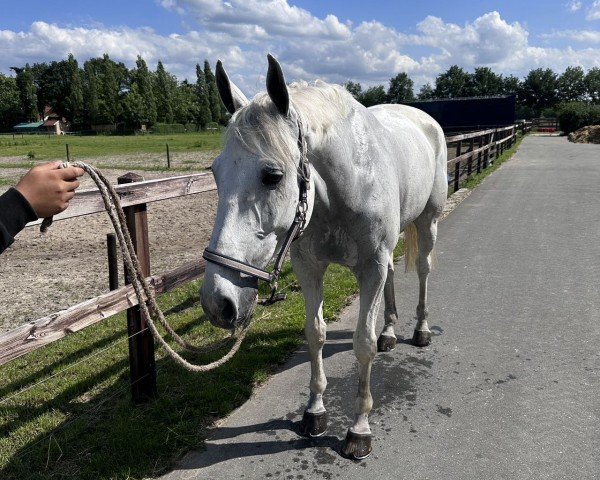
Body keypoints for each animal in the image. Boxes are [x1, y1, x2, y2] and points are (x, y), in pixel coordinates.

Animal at [199, 54, 448, 460]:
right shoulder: (310, 268)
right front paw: (314, 412)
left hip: (428, 222)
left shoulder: (369, 269)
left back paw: (420, 330)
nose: (216, 302)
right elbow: (315, 334)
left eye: (272, 176)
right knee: (393, 276)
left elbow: (362, 343)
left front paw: (359, 429)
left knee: (424, 271)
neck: (346, 185)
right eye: (216, 173)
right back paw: (390, 331)